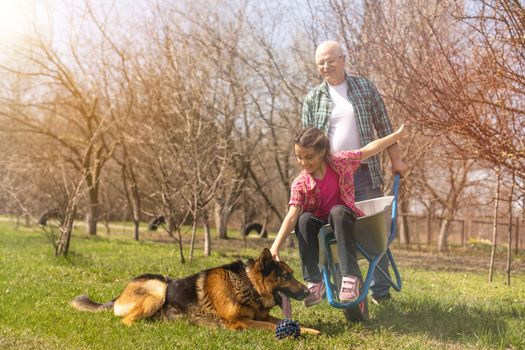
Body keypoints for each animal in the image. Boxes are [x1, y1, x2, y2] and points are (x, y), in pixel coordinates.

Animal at [71, 247, 320, 334]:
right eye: (287, 276)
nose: (308, 293)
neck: (248, 285)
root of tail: (118, 296)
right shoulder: (238, 323)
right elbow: (272, 326)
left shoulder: (262, 315)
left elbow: (287, 322)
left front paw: (310, 330)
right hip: (159, 288)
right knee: (127, 321)